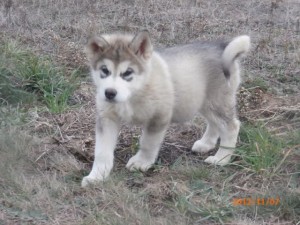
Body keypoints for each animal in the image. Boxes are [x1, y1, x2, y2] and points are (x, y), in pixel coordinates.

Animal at [81, 31, 250, 186]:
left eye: (128, 72)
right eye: (105, 70)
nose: (109, 93)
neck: (134, 94)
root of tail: (222, 48)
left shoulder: (158, 117)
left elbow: (148, 143)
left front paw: (141, 162)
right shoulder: (107, 119)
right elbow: (102, 151)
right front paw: (96, 176)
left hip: (215, 102)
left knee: (231, 126)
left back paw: (221, 158)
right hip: (203, 102)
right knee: (214, 123)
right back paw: (206, 144)